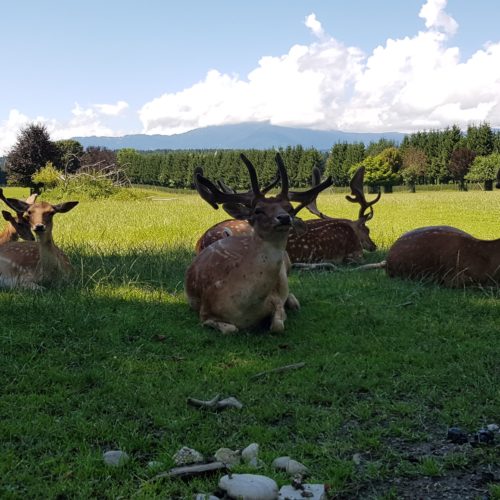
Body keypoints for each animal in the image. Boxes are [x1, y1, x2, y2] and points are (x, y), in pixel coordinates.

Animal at [184, 152, 332, 332]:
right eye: (258, 210)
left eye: (289, 208)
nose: (284, 218)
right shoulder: (204, 309)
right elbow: (230, 329)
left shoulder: (275, 300)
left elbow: (277, 325)